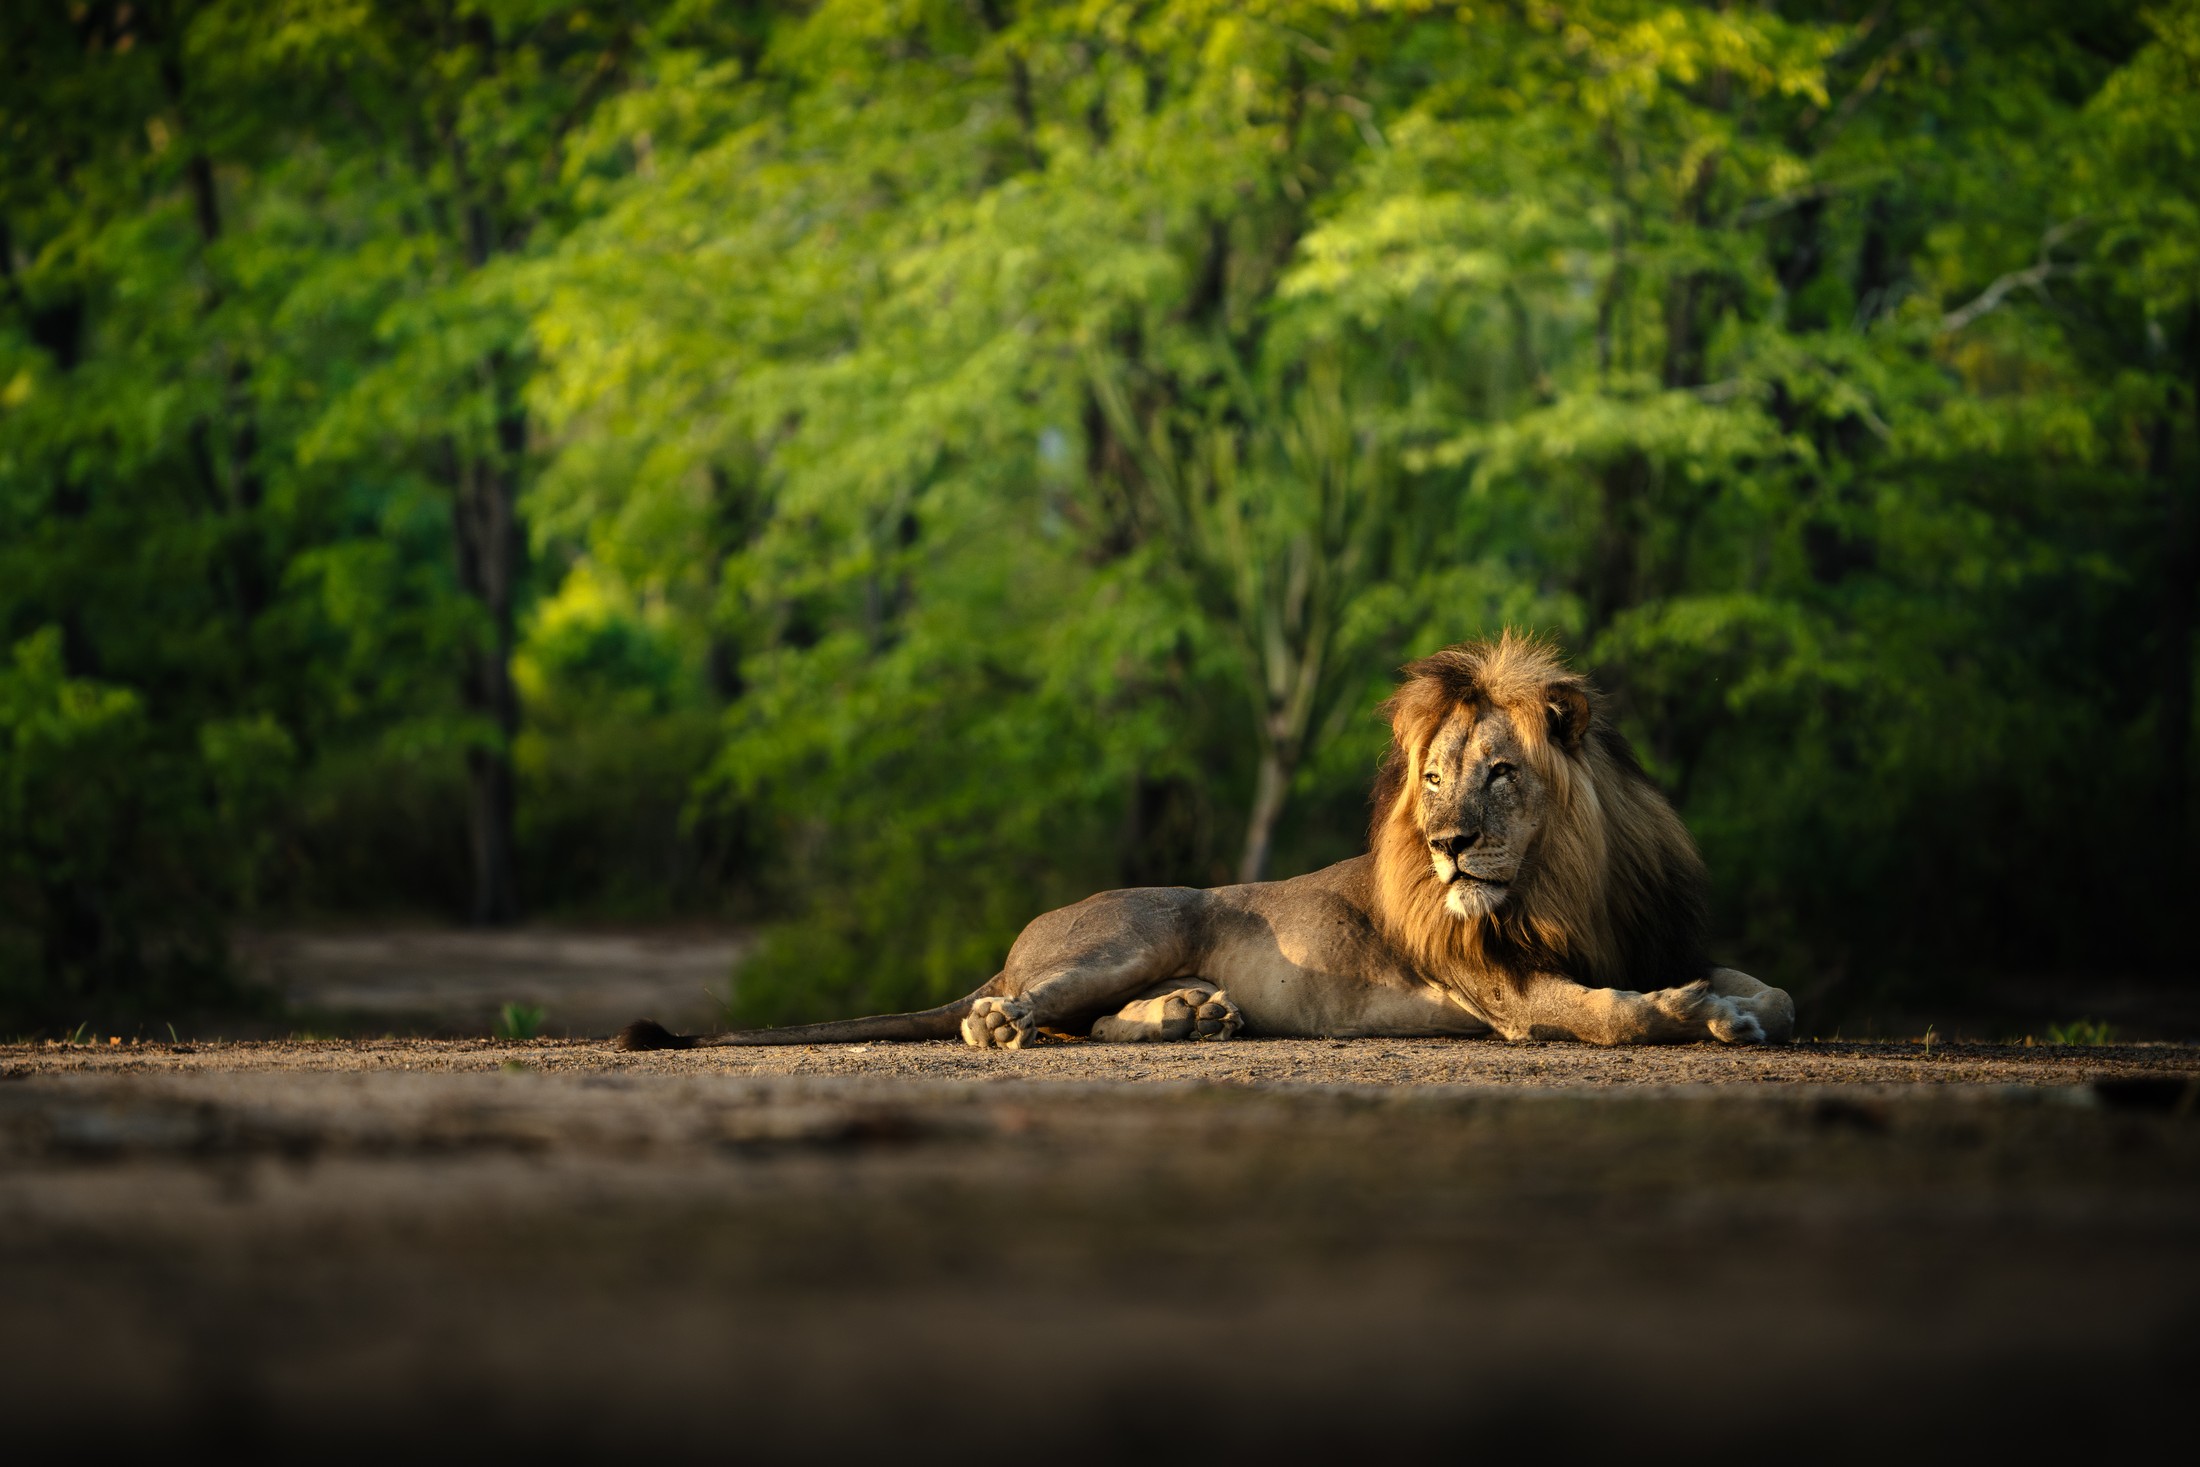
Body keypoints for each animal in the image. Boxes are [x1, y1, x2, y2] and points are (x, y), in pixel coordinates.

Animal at [618, 632, 1793, 1052]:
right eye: (1430, 779)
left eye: (1500, 773)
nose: (1448, 842)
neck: (1562, 881)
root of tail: (1010, 948)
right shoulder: (1503, 991)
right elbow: (1614, 1013)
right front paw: (1698, 1014)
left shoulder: (1654, 934)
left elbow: (1768, 984)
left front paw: (1742, 1005)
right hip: (1140, 924)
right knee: (1031, 1010)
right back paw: (1014, 1023)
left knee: (1090, 1025)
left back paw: (1195, 1016)